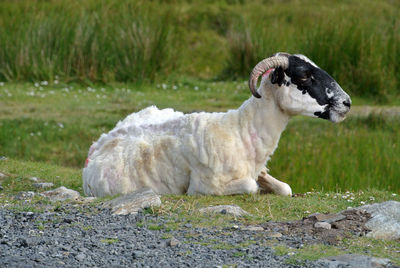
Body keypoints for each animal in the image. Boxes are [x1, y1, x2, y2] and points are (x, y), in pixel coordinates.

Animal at [83, 53, 352, 198]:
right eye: (304, 75)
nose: (347, 102)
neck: (241, 131)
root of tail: (98, 143)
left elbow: (285, 188)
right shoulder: (202, 188)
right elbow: (250, 186)